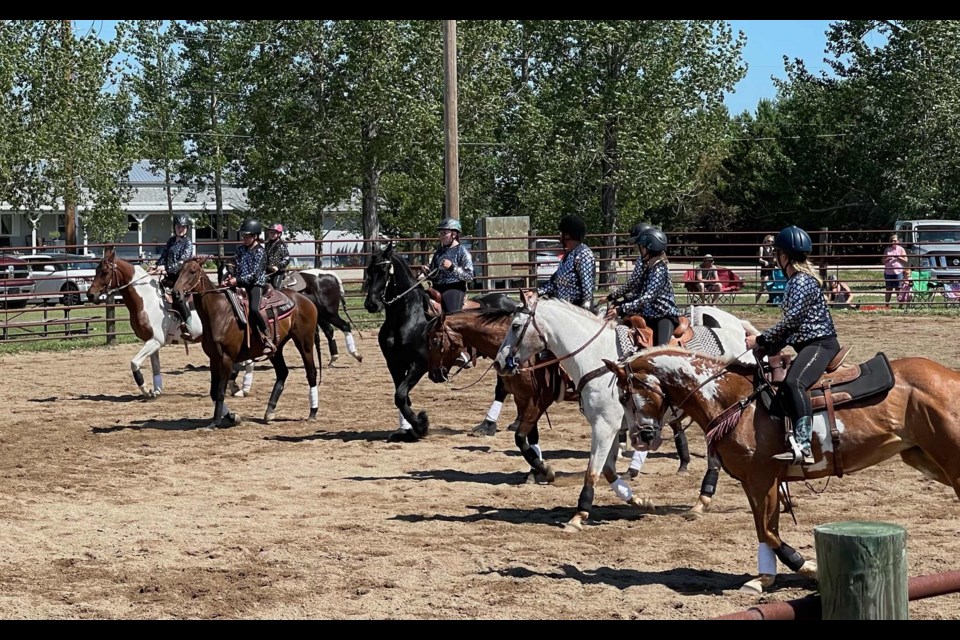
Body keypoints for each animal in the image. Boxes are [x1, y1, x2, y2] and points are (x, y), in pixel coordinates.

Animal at [86, 248, 255, 398]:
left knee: (248, 361)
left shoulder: (155, 341)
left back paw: (243, 389)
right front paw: (156, 391)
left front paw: (146, 391)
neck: (148, 301)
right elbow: (155, 367)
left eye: (105, 272)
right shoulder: (151, 342)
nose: (90, 295)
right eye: (96, 270)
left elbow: (134, 363)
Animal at [172, 256, 318, 430]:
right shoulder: (214, 359)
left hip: (305, 342)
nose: (175, 293)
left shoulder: (226, 359)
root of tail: (304, 299)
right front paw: (233, 417)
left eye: (193, 271)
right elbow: (213, 392)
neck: (219, 313)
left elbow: (220, 391)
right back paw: (269, 411)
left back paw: (313, 412)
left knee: (311, 372)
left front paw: (216, 422)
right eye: (179, 271)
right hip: (276, 349)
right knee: (282, 373)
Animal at [364, 242, 516, 442]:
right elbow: (401, 397)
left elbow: (400, 395)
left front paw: (421, 426)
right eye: (369, 270)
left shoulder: (419, 364)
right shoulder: (394, 364)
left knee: (502, 388)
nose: (371, 304)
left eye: (383, 271)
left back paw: (487, 426)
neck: (409, 317)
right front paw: (406, 430)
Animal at [496, 290, 756, 528]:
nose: (499, 362)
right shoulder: (609, 427)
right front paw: (641, 501)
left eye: (516, 326)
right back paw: (701, 500)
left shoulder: (604, 426)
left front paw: (579, 515)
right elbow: (609, 470)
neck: (597, 360)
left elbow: (593, 470)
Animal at [604, 350, 960, 596]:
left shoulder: (763, 479)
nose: (641, 436)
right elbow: (765, 532)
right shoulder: (756, 482)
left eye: (625, 395)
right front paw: (763, 580)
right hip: (925, 459)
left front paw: (810, 569)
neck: (735, 400)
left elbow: (770, 532)